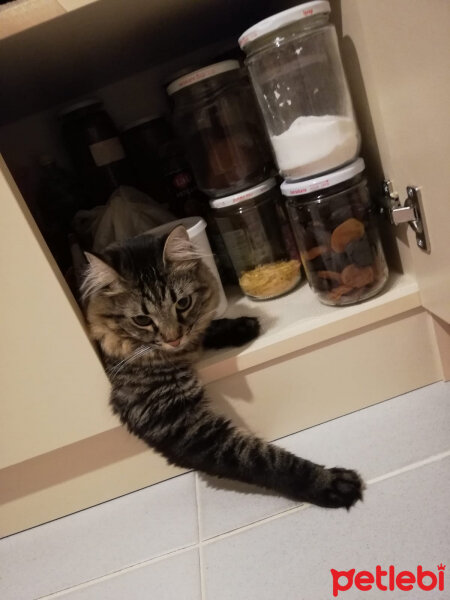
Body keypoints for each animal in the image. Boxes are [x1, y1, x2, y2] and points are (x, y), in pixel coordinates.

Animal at [82, 227, 364, 508]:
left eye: (183, 303)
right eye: (142, 320)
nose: (173, 339)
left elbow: (205, 327)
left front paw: (241, 326)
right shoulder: (177, 419)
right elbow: (268, 461)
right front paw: (329, 482)